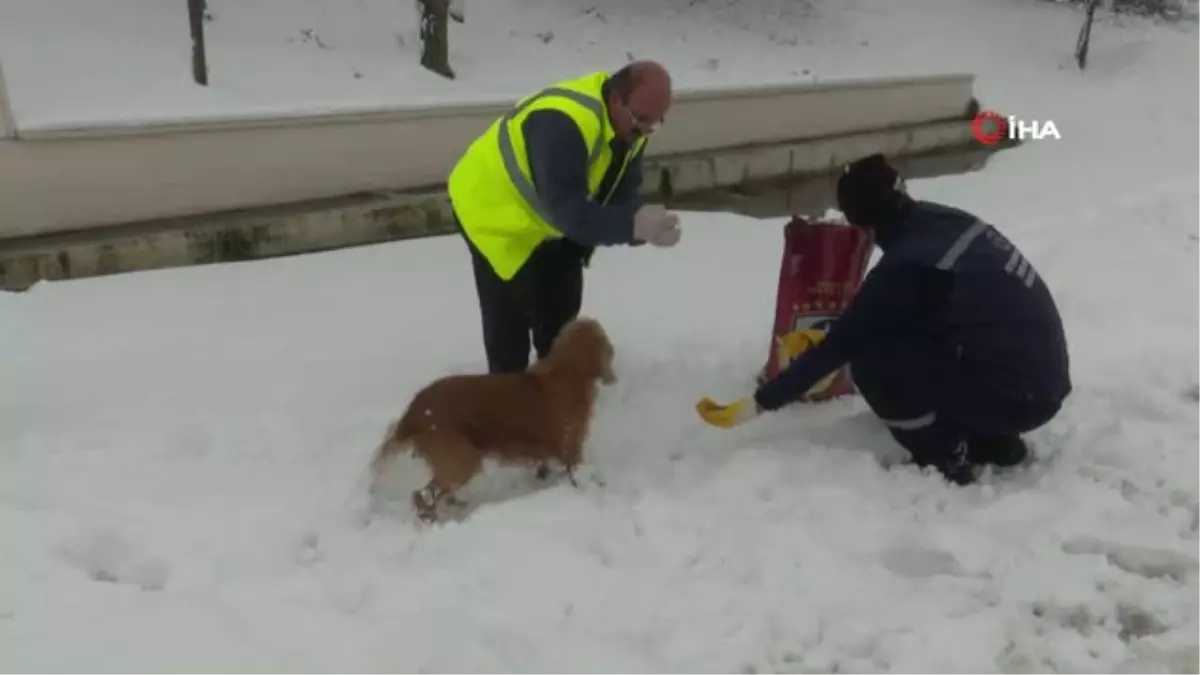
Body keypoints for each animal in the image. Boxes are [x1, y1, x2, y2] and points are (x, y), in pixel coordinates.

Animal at [367, 314, 619, 521]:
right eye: (606, 346)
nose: (613, 351)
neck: (565, 375)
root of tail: (413, 411)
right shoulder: (570, 447)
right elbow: (577, 473)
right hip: (464, 459)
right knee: (423, 494)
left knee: (434, 493)